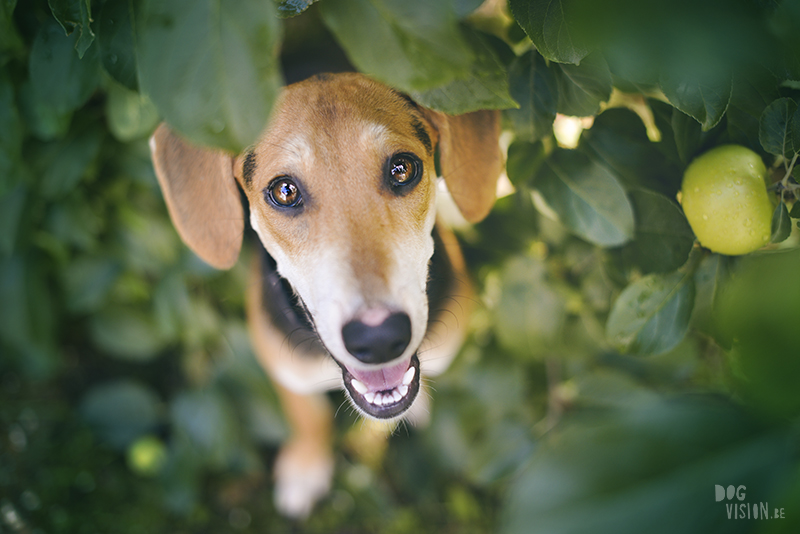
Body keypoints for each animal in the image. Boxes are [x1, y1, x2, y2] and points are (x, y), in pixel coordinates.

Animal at [149, 72, 500, 520]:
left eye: (402, 169)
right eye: (284, 191)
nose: (379, 338)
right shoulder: (285, 369)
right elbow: (308, 417)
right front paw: (306, 469)